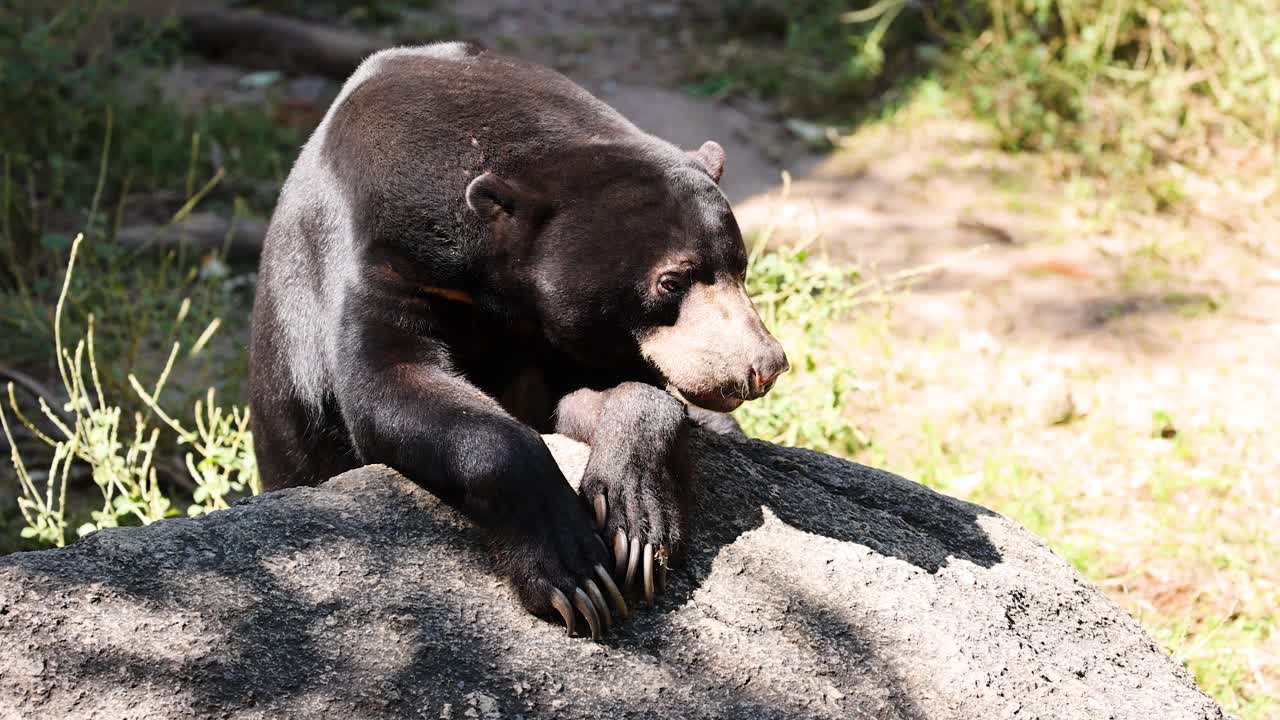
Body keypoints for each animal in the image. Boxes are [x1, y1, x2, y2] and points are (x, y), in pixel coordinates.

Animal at [249, 42, 788, 640]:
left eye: (740, 267)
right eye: (671, 281)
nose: (763, 365)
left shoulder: (563, 334)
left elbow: (599, 396)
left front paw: (637, 528)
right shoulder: (377, 262)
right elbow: (389, 385)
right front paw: (576, 576)